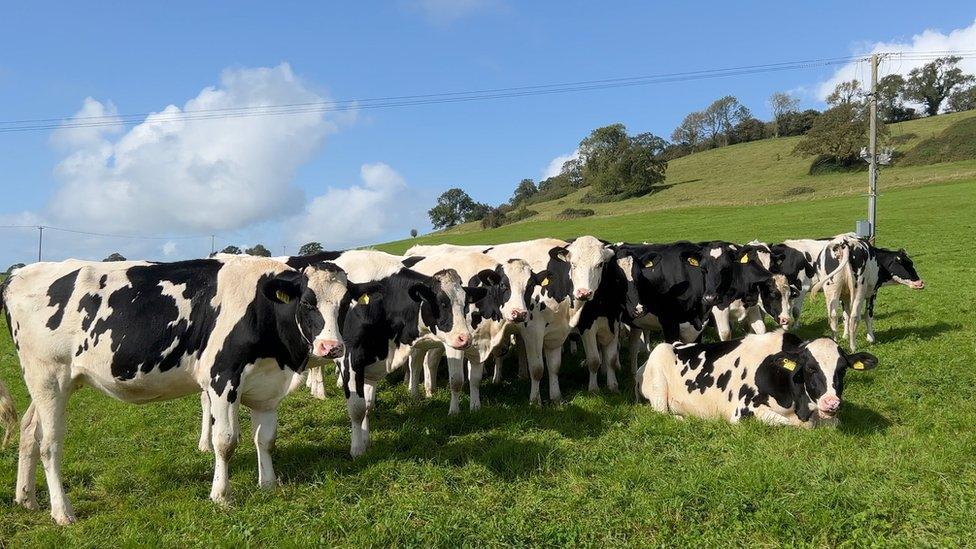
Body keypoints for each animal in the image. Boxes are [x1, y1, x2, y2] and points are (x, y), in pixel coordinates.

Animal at [0, 256, 350, 524]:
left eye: (345, 304)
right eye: (307, 302)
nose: (332, 347)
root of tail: (19, 273)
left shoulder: (267, 386)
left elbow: (265, 440)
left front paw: (269, 485)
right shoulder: (222, 379)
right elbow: (225, 442)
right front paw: (221, 496)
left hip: (48, 383)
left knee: (29, 431)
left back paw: (26, 498)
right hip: (48, 377)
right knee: (49, 444)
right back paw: (62, 513)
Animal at [636, 328, 880, 426]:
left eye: (842, 369)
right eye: (810, 368)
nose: (832, 403)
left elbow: (835, 422)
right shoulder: (743, 411)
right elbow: (791, 423)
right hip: (658, 390)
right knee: (662, 413)